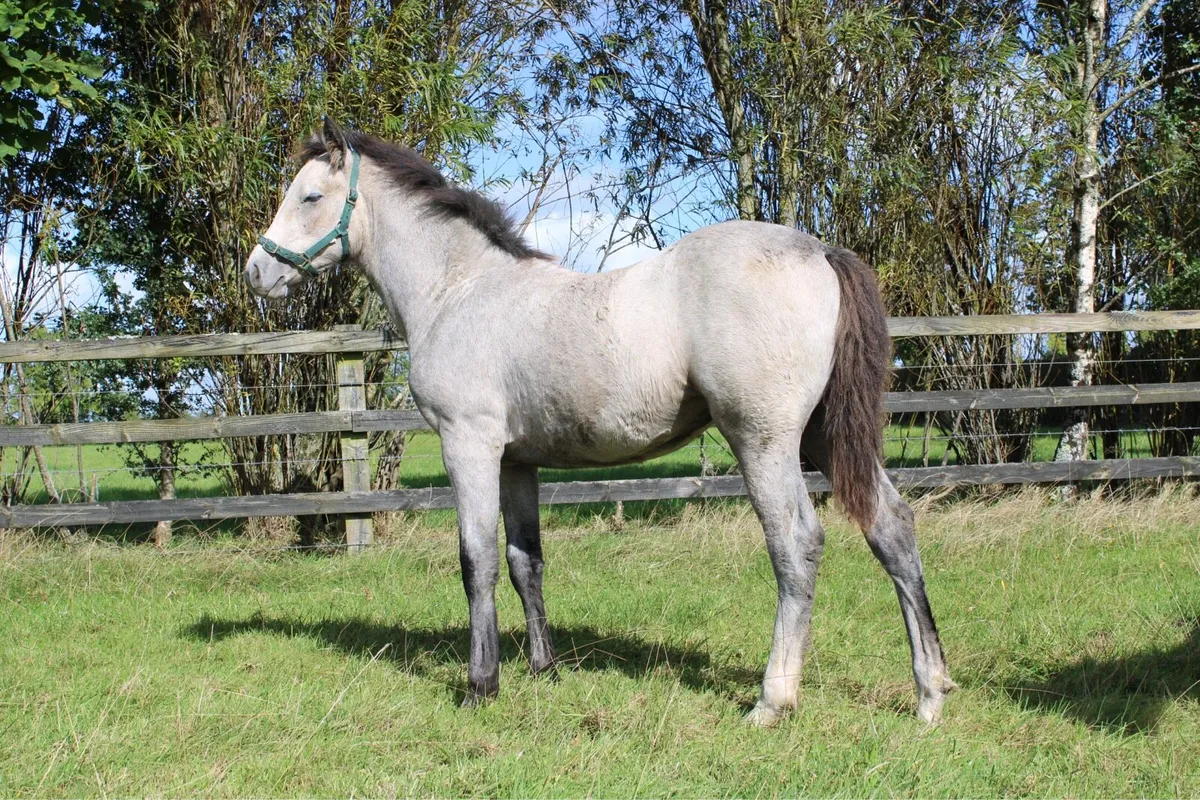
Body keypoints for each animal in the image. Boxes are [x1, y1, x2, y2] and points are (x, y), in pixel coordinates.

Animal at [244, 118, 956, 725]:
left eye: (310, 196)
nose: (257, 270)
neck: (459, 291)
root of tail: (820, 250)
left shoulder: (468, 445)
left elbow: (476, 561)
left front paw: (481, 685)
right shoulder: (517, 461)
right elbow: (524, 560)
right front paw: (545, 669)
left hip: (765, 440)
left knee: (797, 545)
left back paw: (772, 700)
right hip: (825, 436)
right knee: (893, 528)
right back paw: (929, 694)